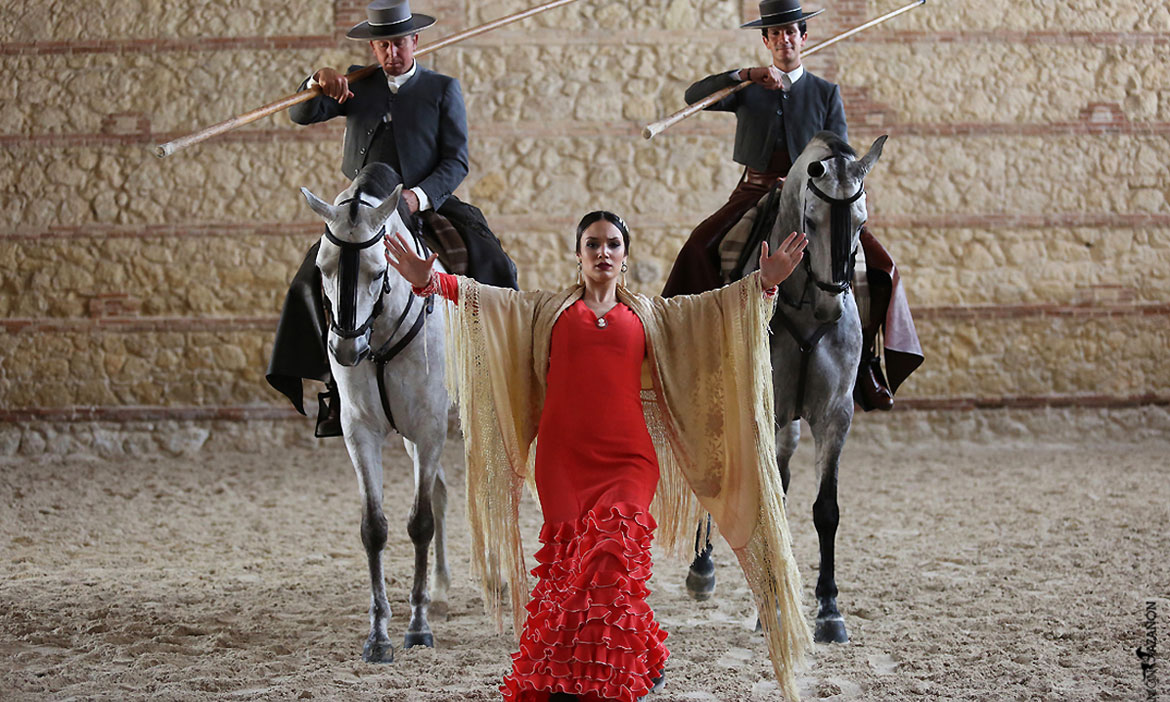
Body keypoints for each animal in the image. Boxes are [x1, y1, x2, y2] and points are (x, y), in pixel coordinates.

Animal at [299, 164, 449, 664]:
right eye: (322, 268)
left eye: (379, 269)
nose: (346, 350)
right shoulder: (360, 431)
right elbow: (375, 528)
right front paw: (379, 634)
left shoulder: (429, 429)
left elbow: (420, 524)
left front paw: (417, 628)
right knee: (442, 495)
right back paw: (441, 588)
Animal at [683, 130, 884, 641]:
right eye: (810, 220)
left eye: (862, 221)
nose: (832, 306)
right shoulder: (762, 407)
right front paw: (771, 605)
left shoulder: (834, 415)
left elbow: (825, 509)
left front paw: (828, 610)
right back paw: (702, 570)